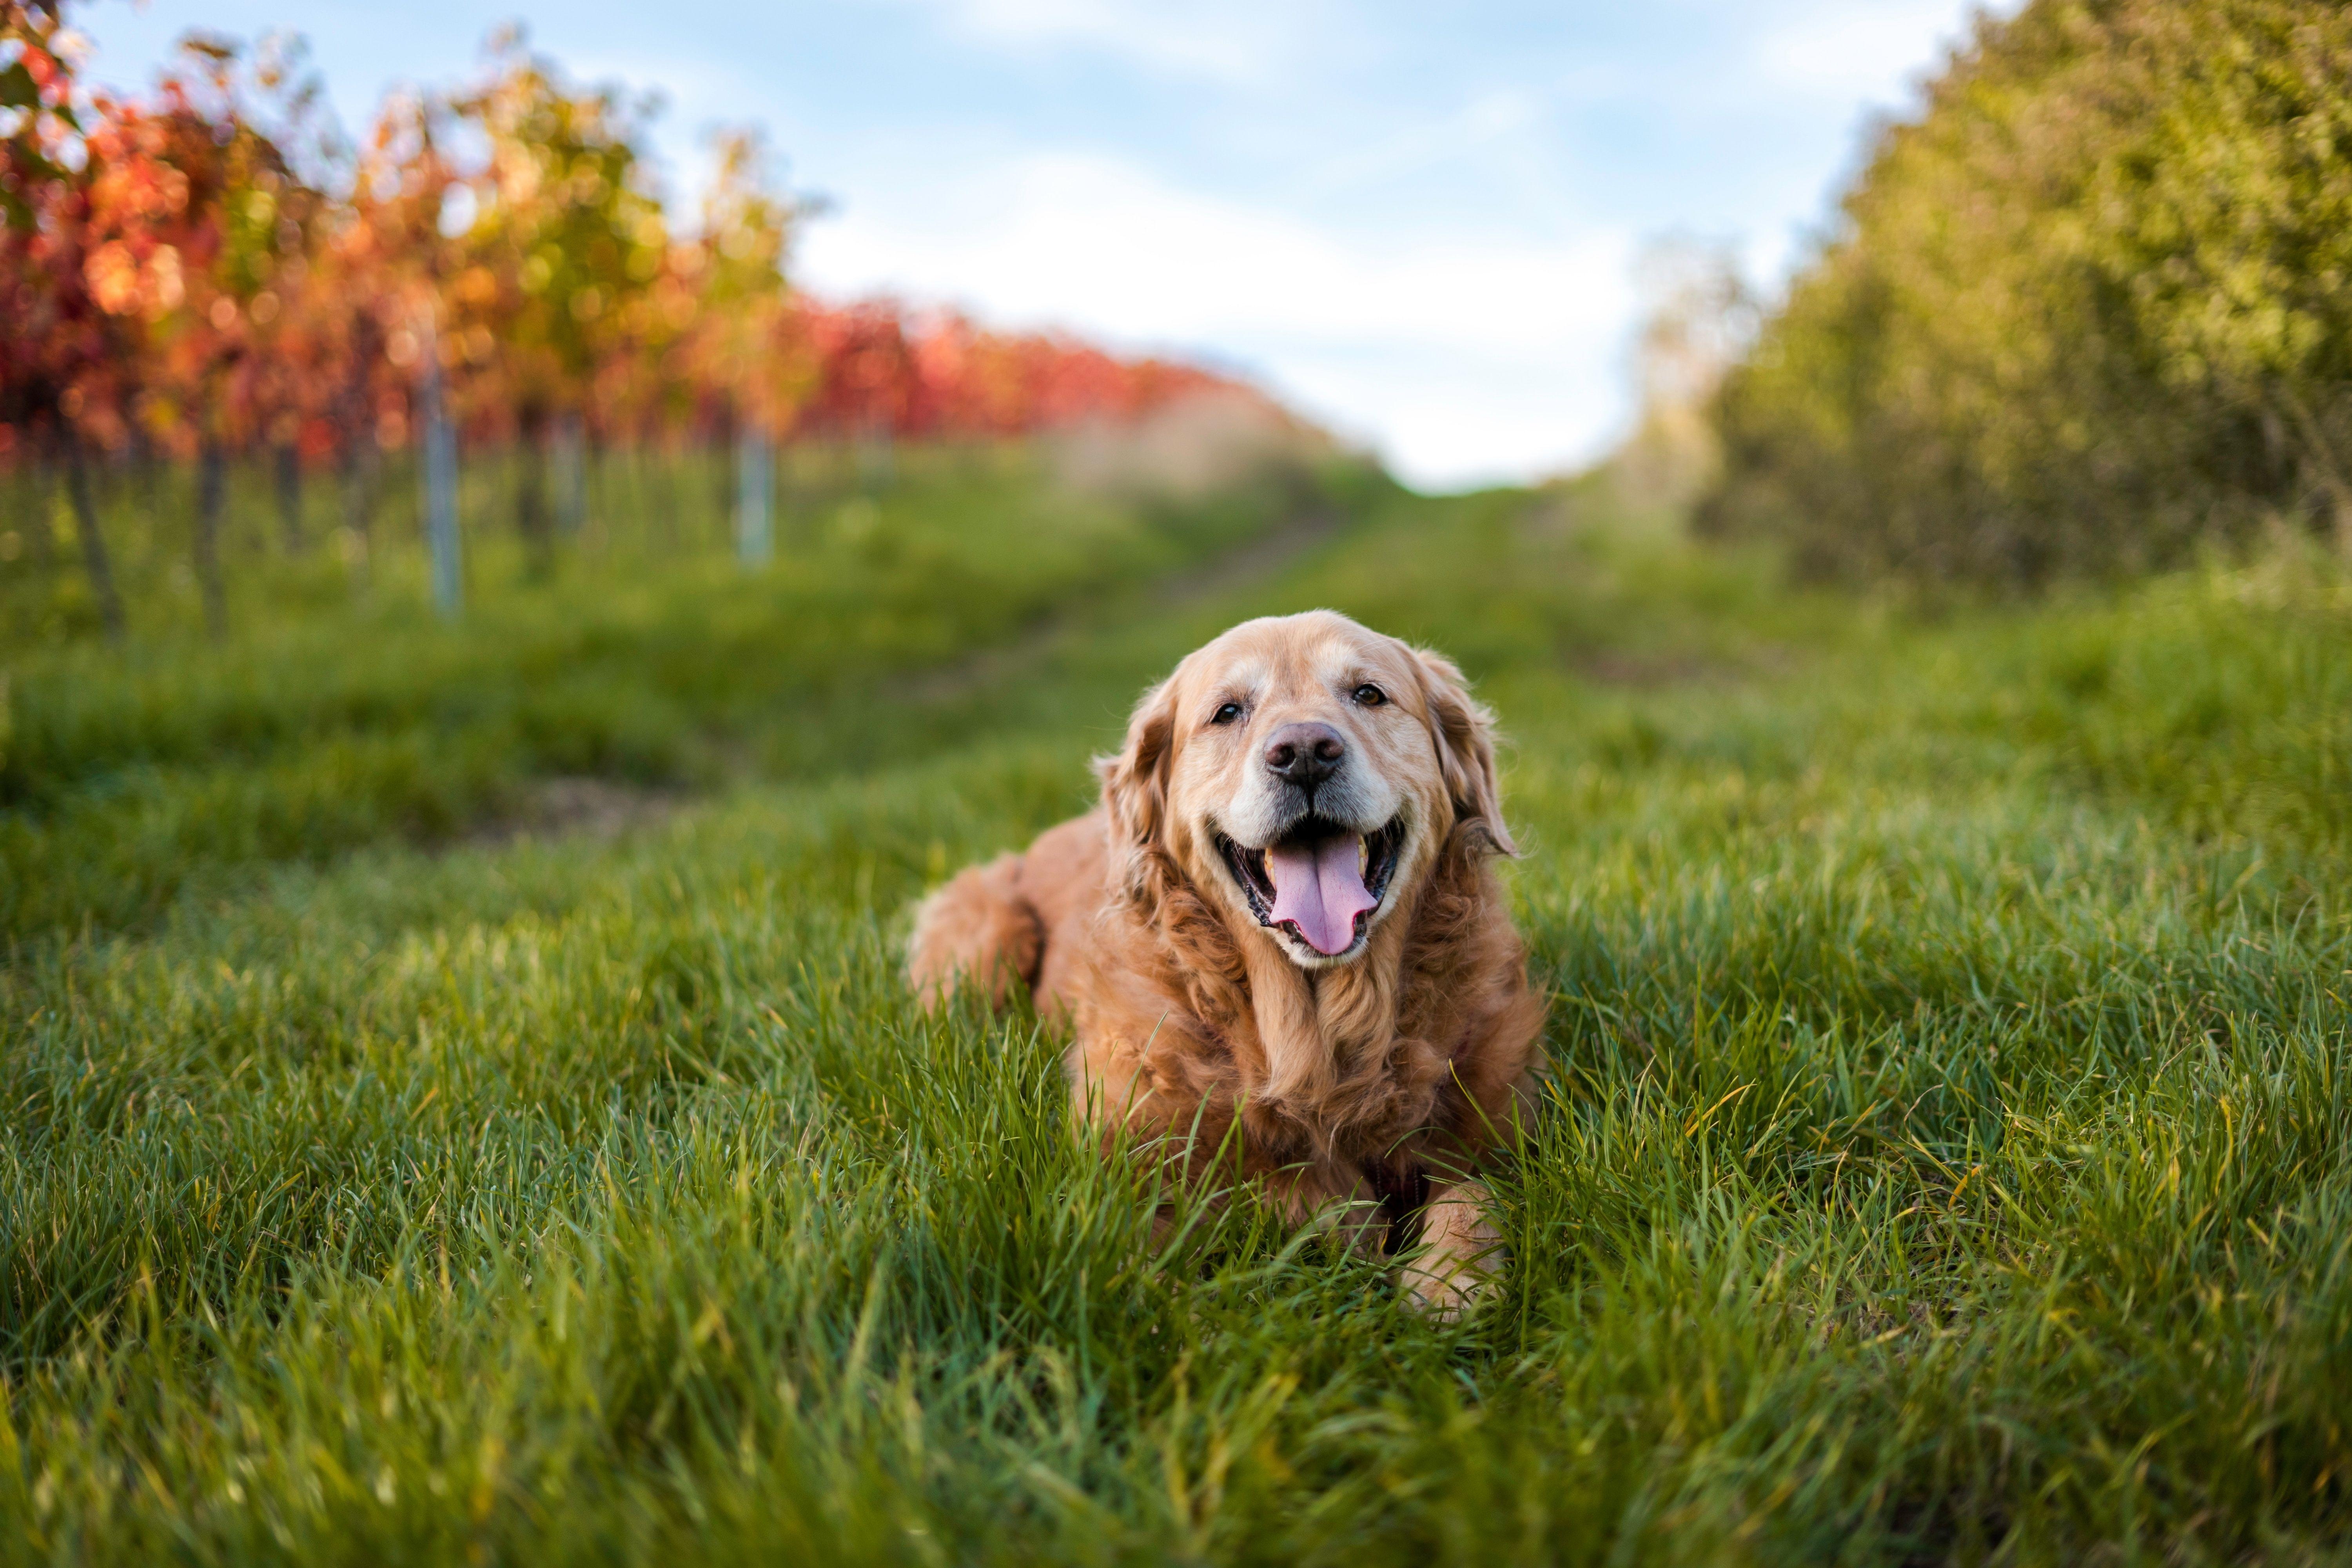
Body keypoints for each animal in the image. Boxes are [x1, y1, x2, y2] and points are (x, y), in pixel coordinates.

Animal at [903, 611, 1543, 1316]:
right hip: (986, 932)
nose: (1304, 752)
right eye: (1229, 712)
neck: (1310, 1042)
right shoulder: (1120, 1167)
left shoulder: (1501, 1131)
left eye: (1369, 694)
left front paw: (1449, 1280)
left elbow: (1475, 1192)